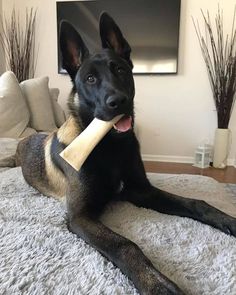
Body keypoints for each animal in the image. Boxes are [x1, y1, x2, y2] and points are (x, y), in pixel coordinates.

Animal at [16, 12, 236, 295]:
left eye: (120, 69)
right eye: (90, 79)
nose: (118, 102)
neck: (110, 146)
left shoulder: (142, 191)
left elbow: (197, 203)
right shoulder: (79, 216)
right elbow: (124, 244)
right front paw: (156, 283)